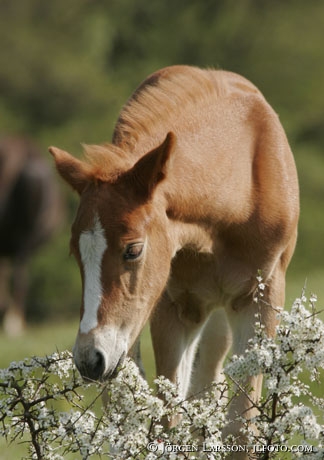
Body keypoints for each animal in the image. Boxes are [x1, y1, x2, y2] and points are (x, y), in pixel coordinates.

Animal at [50, 65, 298, 452]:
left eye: (133, 249)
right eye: (76, 253)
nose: (89, 360)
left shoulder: (262, 294)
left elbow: (240, 428)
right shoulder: (174, 306)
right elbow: (169, 420)